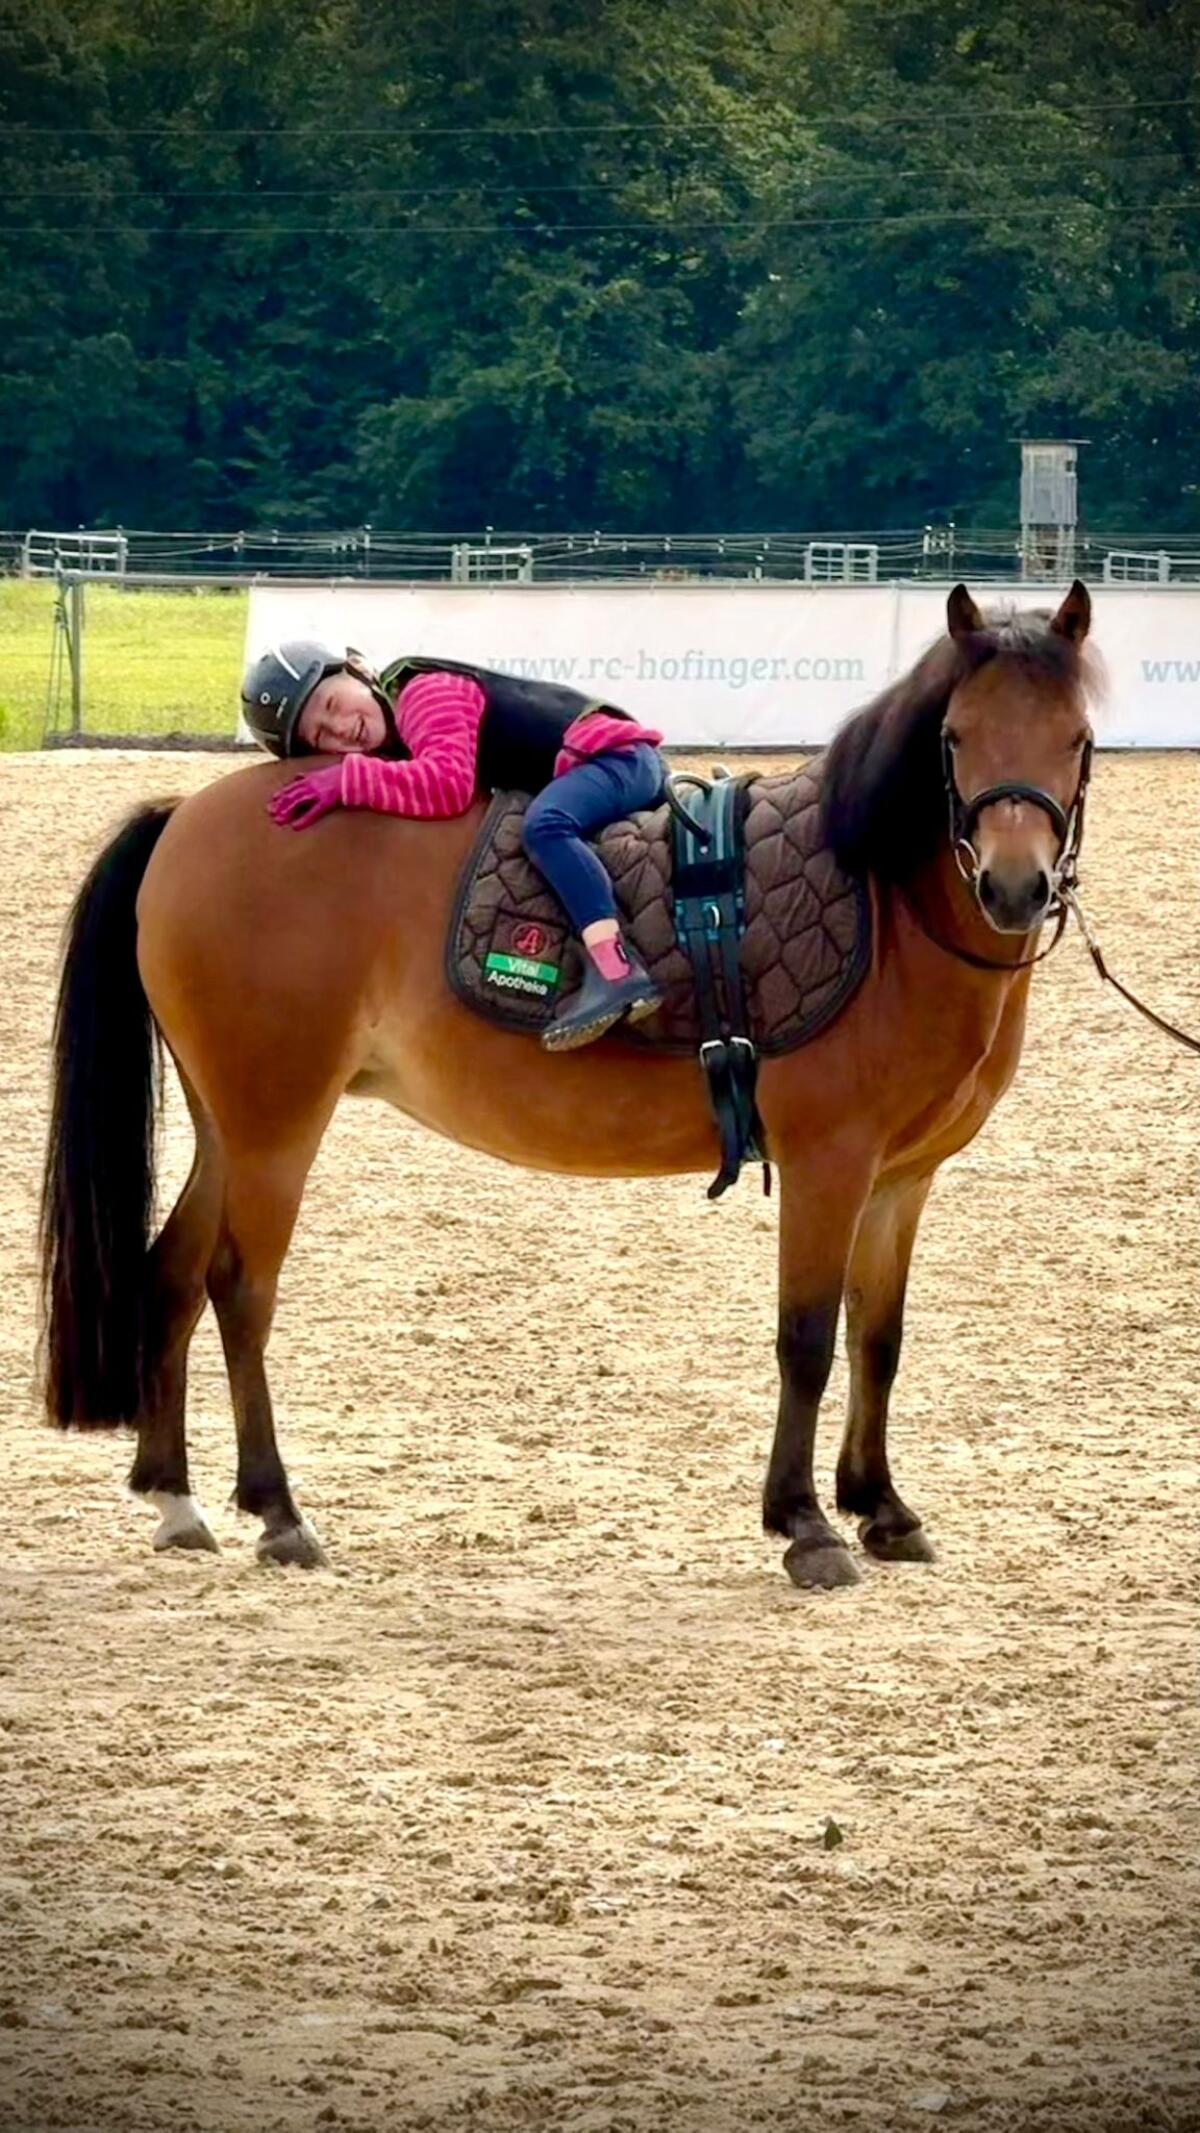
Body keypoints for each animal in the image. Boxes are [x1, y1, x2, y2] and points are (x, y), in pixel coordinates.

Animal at [39, 582, 1098, 1589]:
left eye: (1078, 739)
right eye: (954, 737)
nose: (1014, 886)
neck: (882, 909)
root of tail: (185, 816)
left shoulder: (901, 1178)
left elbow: (879, 1337)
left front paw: (881, 1507)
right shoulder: (826, 1163)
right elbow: (805, 1337)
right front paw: (804, 1523)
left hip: (232, 1121)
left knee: (171, 1272)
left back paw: (175, 1499)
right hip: (276, 1124)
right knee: (239, 1286)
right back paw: (276, 1510)